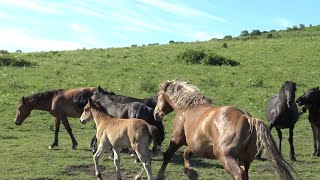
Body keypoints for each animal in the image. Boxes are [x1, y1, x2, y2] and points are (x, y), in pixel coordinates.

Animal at [152, 80, 296, 180]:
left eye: (159, 95)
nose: (156, 113)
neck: (188, 108)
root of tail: (248, 118)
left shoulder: (177, 139)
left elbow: (168, 155)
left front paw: (159, 175)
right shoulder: (196, 146)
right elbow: (186, 154)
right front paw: (191, 173)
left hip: (226, 157)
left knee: (238, 174)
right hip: (245, 160)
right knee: (244, 174)